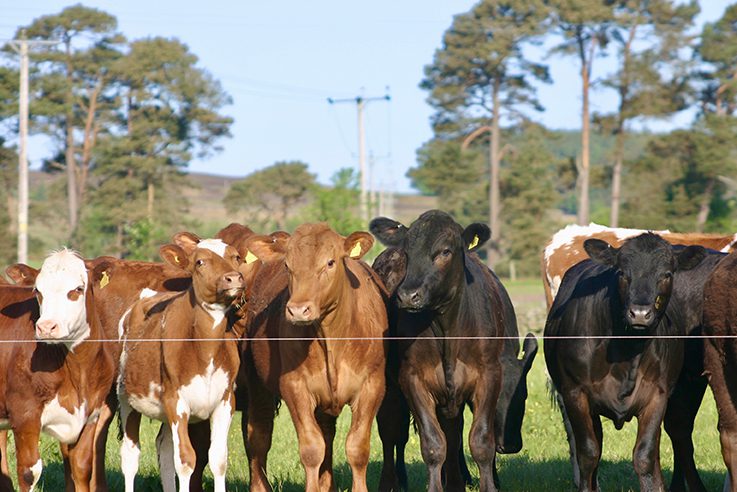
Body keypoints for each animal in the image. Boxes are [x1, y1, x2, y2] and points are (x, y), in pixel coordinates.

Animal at [0, 249, 116, 491]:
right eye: (37, 290)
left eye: (78, 289)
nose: (46, 327)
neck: (78, 370)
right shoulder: (25, 414)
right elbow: (29, 473)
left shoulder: (91, 415)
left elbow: (82, 468)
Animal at [117, 235, 245, 492]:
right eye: (200, 262)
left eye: (236, 257)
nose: (233, 278)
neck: (205, 351)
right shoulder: (176, 401)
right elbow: (186, 461)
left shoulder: (225, 401)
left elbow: (218, 459)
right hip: (126, 397)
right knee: (130, 455)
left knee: (164, 447)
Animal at [243, 223, 387, 492]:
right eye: (287, 265)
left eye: (330, 262)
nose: (299, 309)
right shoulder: (294, 387)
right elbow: (311, 449)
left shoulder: (372, 386)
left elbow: (357, 447)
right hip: (256, 382)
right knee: (259, 435)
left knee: (327, 433)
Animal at [544, 232, 719, 492]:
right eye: (622, 273)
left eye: (667, 274)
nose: (640, 313)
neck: (627, 351)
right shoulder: (575, 393)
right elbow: (588, 453)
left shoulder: (657, 396)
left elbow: (645, 455)